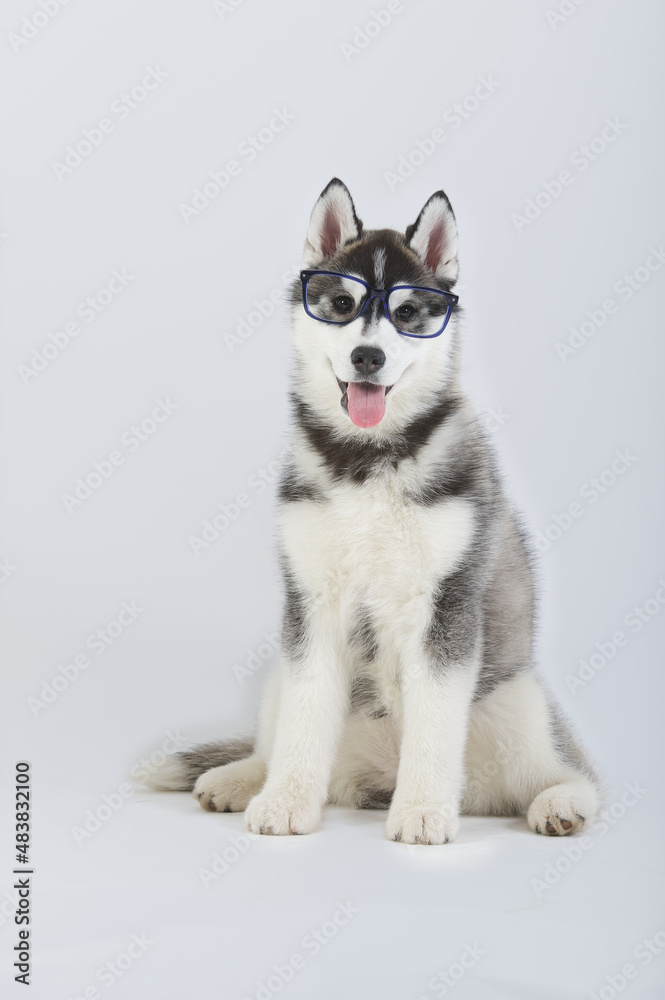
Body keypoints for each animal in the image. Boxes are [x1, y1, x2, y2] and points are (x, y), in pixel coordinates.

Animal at [147, 178, 600, 844]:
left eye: (407, 315)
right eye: (341, 303)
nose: (368, 357)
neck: (368, 459)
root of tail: (375, 773)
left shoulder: (445, 605)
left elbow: (435, 722)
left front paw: (423, 811)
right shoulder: (311, 602)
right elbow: (304, 717)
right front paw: (285, 802)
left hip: (518, 704)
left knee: (568, 771)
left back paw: (560, 802)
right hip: (279, 672)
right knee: (272, 739)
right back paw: (239, 777)